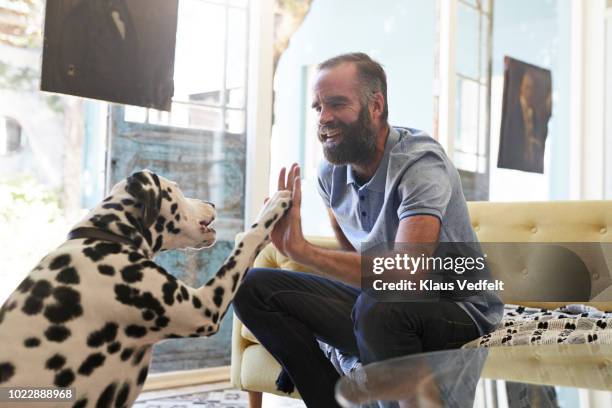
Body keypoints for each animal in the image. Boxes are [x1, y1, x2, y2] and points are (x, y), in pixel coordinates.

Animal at [0, 170, 290, 408]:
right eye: (177, 189)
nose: (211, 204)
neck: (108, 238)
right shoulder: (205, 308)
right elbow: (247, 240)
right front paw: (274, 206)